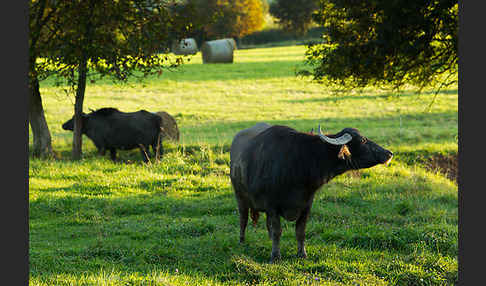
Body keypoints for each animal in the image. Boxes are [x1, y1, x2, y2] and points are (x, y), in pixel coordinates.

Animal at [230, 123, 392, 264]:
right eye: (363, 140)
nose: (389, 153)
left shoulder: (306, 205)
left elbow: (300, 231)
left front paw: (302, 254)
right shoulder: (272, 206)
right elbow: (278, 231)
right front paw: (275, 256)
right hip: (240, 198)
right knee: (243, 220)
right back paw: (242, 241)